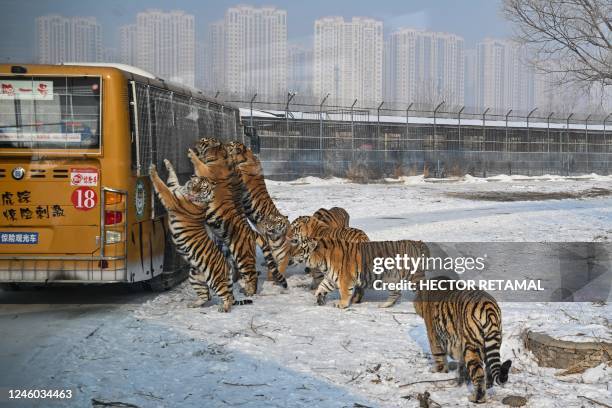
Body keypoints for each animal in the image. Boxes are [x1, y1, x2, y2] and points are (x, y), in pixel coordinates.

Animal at [149, 159, 252, 312]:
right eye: (195, 184)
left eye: (202, 188)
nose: (193, 191)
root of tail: (227, 266)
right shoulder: (175, 189)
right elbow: (172, 178)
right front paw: (167, 163)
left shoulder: (172, 200)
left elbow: (161, 185)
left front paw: (152, 171)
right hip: (195, 276)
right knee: (206, 296)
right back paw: (193, 304)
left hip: (215, 279)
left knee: (227, 296)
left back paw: (224, 308)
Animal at [290, 237, 426, 308]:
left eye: (300, 249)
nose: (290, 255)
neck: (322, 261)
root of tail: (417, 243)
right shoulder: (330, 278)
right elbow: (322, 287)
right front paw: (319, 297)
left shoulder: (345, 279)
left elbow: (345, 293)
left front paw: (342, 304)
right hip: (392, 279)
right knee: (396, 293)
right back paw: (384, 305)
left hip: (413, 275)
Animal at [412, 270, 512, 402]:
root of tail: (489, 307)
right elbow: (461, 364)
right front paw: (461, 380)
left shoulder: (433, 334)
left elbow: (438, 356)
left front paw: (438, 371)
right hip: (491, 342)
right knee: (490, 367)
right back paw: (489, 385)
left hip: (472, 346)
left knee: (478, 374)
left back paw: (476, 398)